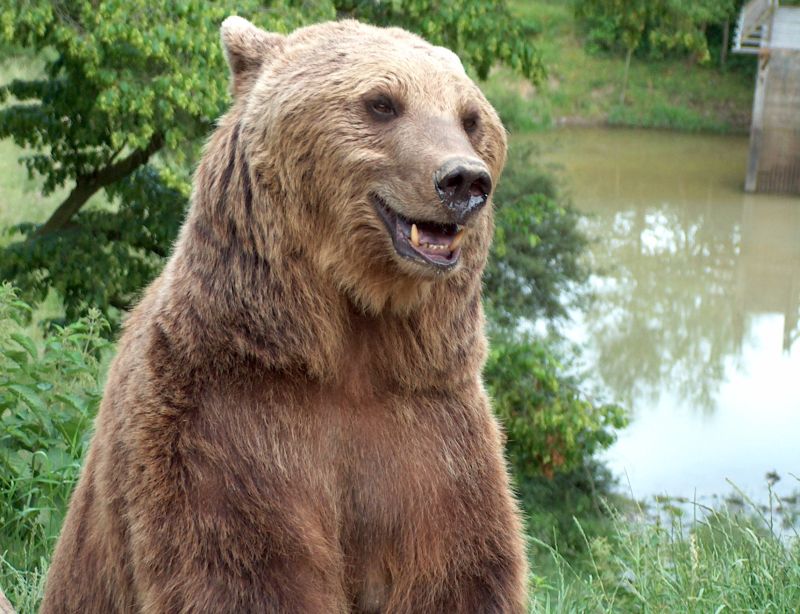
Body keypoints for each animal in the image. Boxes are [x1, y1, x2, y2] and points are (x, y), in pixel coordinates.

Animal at [42, 16, 532, 612]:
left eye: (470, 117)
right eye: (382, 103)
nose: (463, 180)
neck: (351, 341)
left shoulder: (430, 423)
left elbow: (456, 569)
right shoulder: (224, 416)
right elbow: (246, 567)